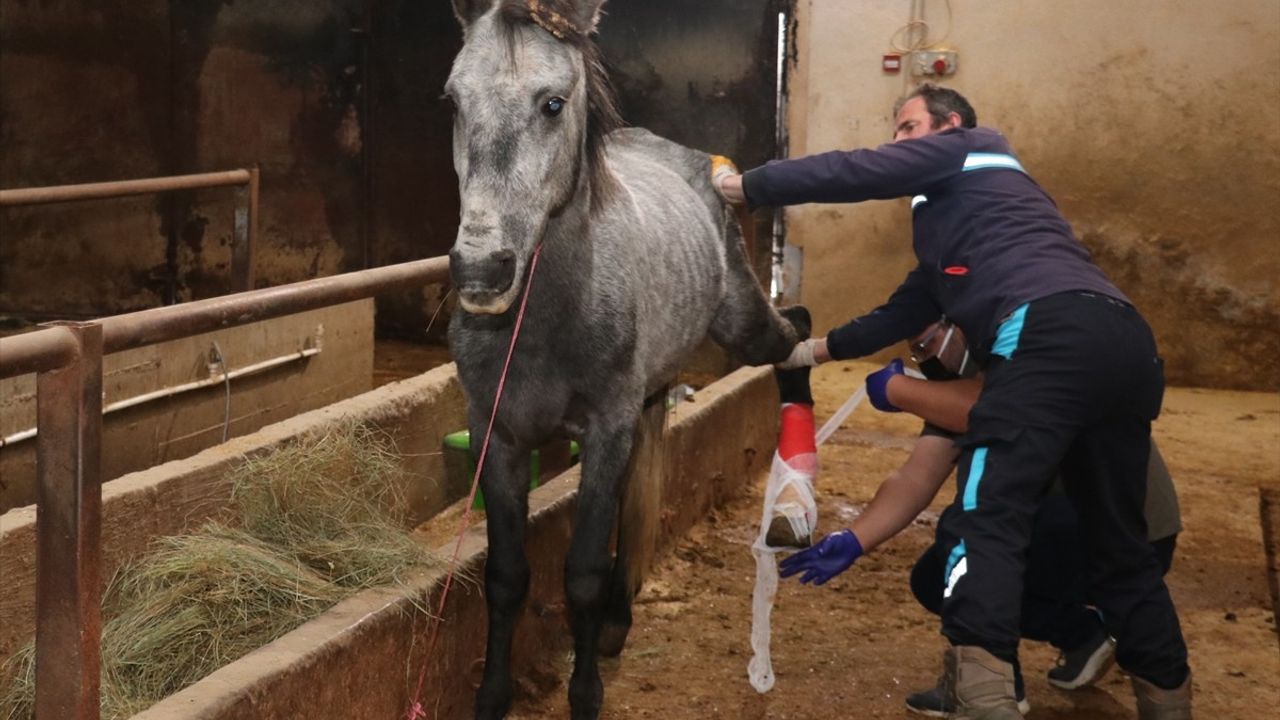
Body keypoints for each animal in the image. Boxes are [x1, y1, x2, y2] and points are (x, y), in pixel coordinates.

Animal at [445, 2, 803, 712]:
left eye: (553, 103)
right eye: (453, 99)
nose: (480, 269)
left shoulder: (607, 429)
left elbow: (582, 571)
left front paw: (585, 694)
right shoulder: (497, 434)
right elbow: (506, 575)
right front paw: (494, 694)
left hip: (746, 326)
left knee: (795, 335)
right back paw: (617, 619)